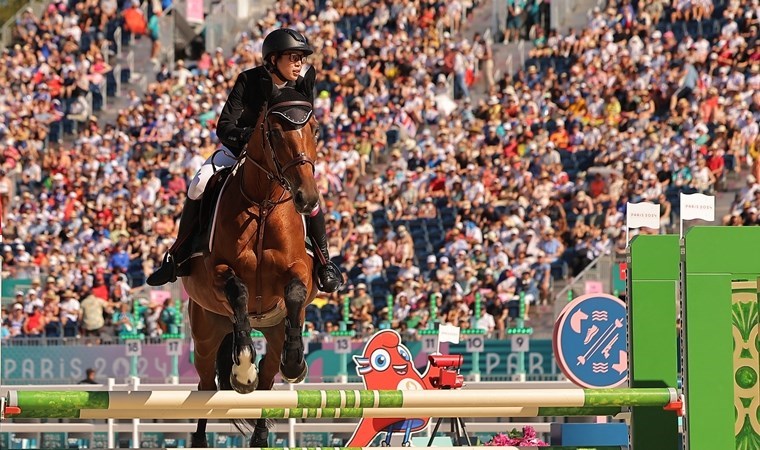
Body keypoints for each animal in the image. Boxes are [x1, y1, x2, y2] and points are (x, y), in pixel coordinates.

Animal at [184, 68, 320, 448]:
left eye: (314, 129)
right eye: (274, 132)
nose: (307, 198)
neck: (262, 203)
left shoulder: (299, 271)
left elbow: (294, 292)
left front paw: (296, 363)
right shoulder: (218, 272)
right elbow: (240, 293)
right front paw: (243, 369)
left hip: (271, 331)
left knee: (270, 377)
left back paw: (261, 432)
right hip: (205, 332)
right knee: (205, 385)